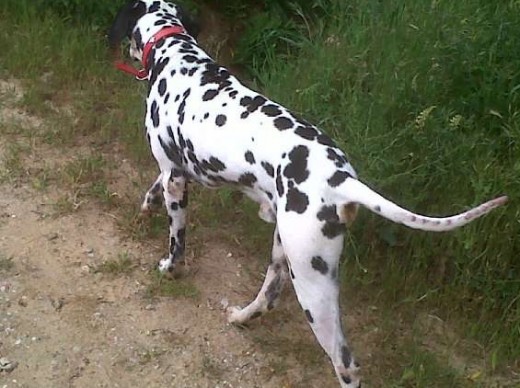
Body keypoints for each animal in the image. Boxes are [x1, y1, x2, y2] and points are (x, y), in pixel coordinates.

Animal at [106, 1, 508, 386]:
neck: (176, 54)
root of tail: (341, 179)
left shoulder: (175, 178)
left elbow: (176, 240)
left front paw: (170, 267)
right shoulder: (173, 171)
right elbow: (153, 188)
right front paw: (146, 205)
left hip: (313, 284)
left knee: (346, 365)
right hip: (285, 253)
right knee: (268, 299)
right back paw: (241, 317)